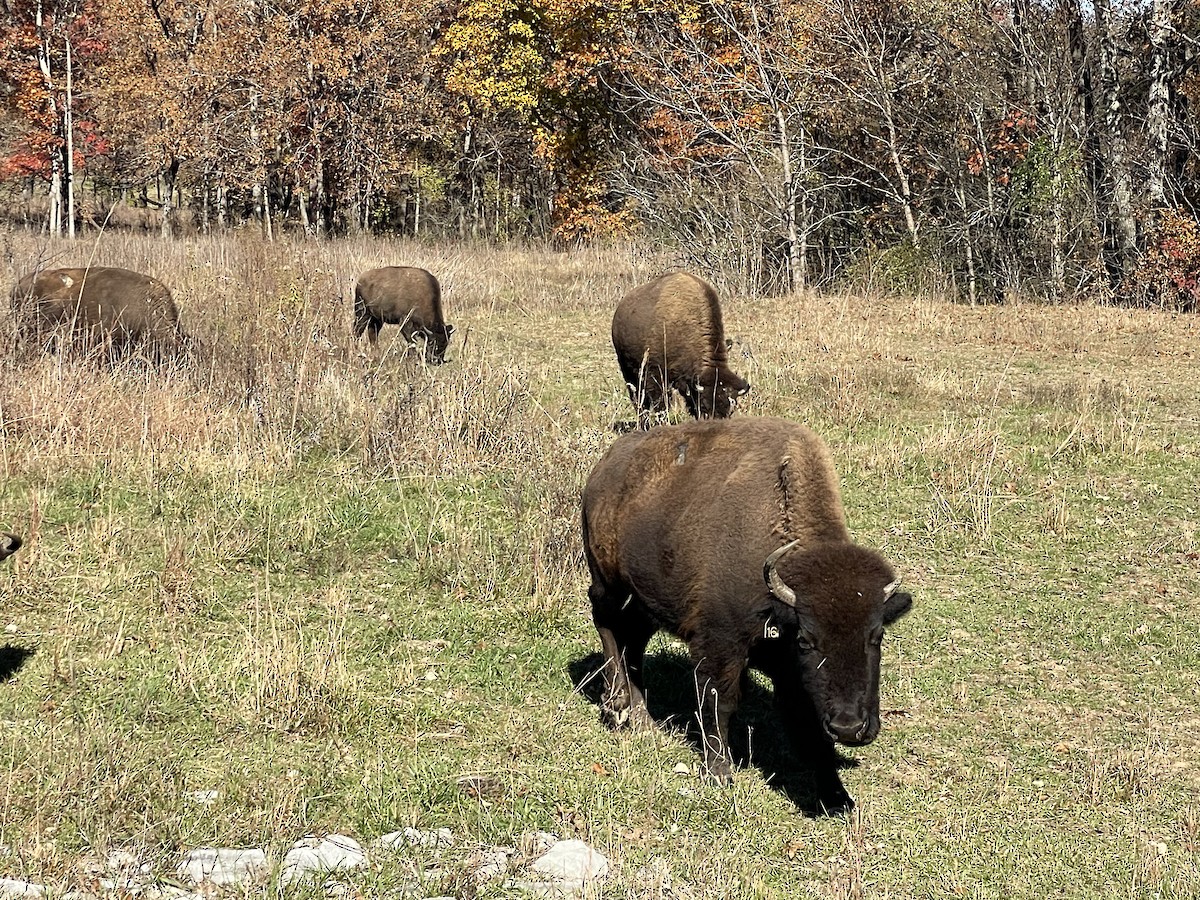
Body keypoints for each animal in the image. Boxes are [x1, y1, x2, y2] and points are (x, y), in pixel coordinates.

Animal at [581, 417, 912, 814]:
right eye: (807, 639)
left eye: (876, 635)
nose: (849, 727)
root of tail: (602, 468)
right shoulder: (719, 643)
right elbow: (718, 703)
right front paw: (719, 772)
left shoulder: (789, 670)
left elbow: (807, 724)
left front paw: (836, 797)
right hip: (608, 583)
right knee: (608, 626)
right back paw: (617, 709)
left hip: (644, 600)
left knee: (634, 642)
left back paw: (644, 720)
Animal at [611, 272, 749, 426]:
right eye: (704, 405)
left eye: (731, 410)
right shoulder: (656, 374)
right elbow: (661, 403)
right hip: (628, 369)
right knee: (638, 399)